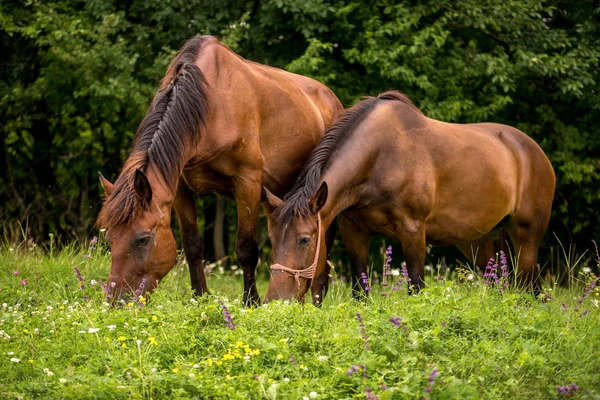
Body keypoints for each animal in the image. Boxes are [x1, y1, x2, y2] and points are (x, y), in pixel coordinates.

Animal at [97, 36, 342, 306]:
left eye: (142, 239)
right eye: (109, 238)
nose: (116, 301)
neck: (211, 104)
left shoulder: (247, 183)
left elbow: (246, 248)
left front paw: (250, 301)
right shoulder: (180, 189)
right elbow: (193, 244)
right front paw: (200, 295)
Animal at [264, 90, 556, 304]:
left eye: (304, 239)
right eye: (272, 238)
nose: (276, 301)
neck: (380, 157)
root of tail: (533, 151)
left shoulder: (413, 231)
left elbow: (416, 286)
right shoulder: (355, 232)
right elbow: (360, 290)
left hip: (526, 237)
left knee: (525, 287)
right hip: (475, 241)